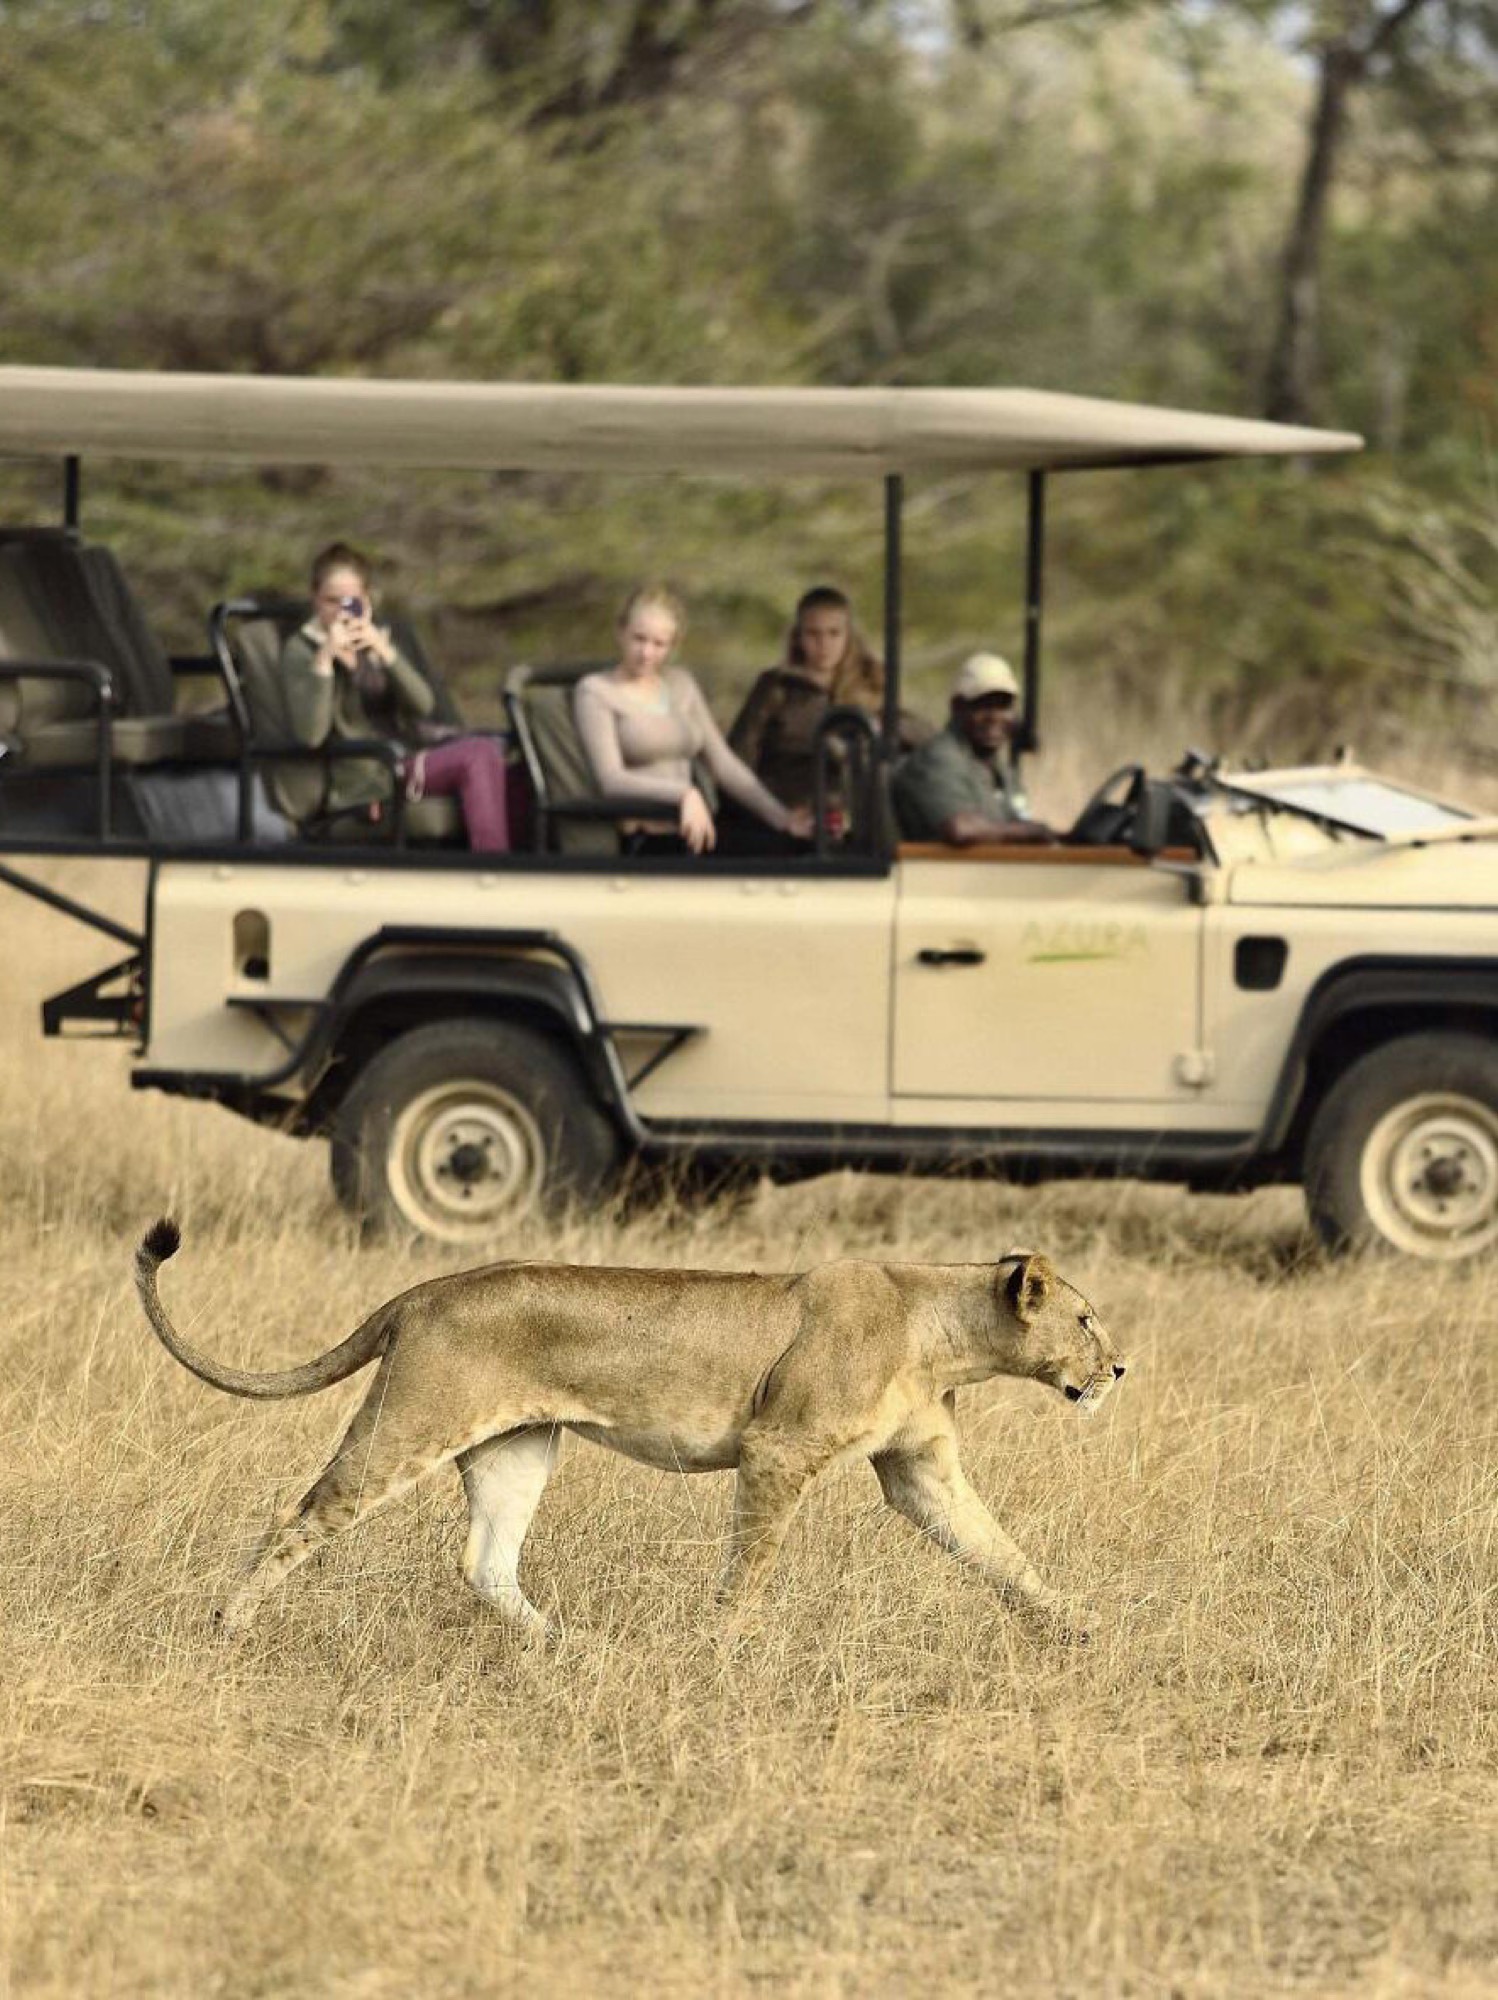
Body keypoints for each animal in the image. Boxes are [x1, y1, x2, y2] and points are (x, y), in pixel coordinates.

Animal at [133, 1219, 1125, 1642]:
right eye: (1085, 1321)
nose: (1120, 1370)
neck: (940, 1331)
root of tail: (424, 1290)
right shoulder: (778, 1448)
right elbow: (749, 1568)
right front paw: (721, 1649)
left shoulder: (920, 1468)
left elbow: (1002, 1554)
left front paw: (1079, 1625)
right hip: (410, 1423)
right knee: (299, 1517)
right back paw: (229, 1626)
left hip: (518, 1447)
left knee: (484, 1562)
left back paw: (565, 1647)